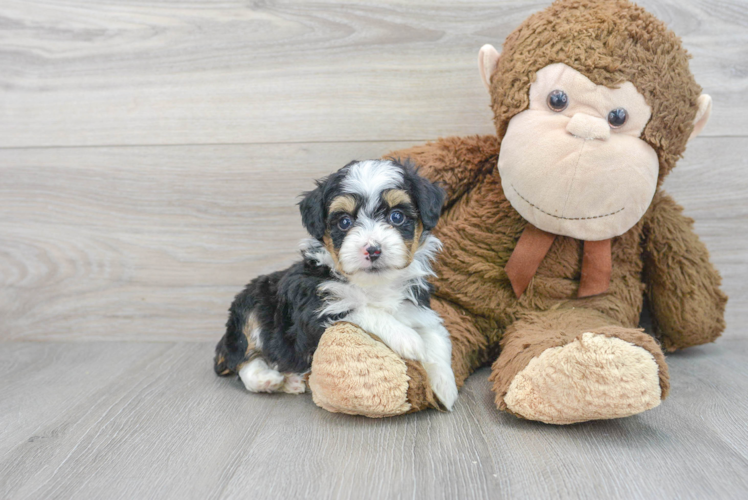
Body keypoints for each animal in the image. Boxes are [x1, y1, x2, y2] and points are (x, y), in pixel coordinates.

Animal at [213, 159, 458, 410]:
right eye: (344, 222)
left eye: (397, 217)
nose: (373, 250)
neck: (372, 284)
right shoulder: (317, 309)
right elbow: (364, 311)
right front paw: (408, 339)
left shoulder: (417, 308)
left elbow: (437, 337)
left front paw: (445, 386)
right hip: (249, 307)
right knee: (241, 357)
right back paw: (266, 379)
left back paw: (291, 381)